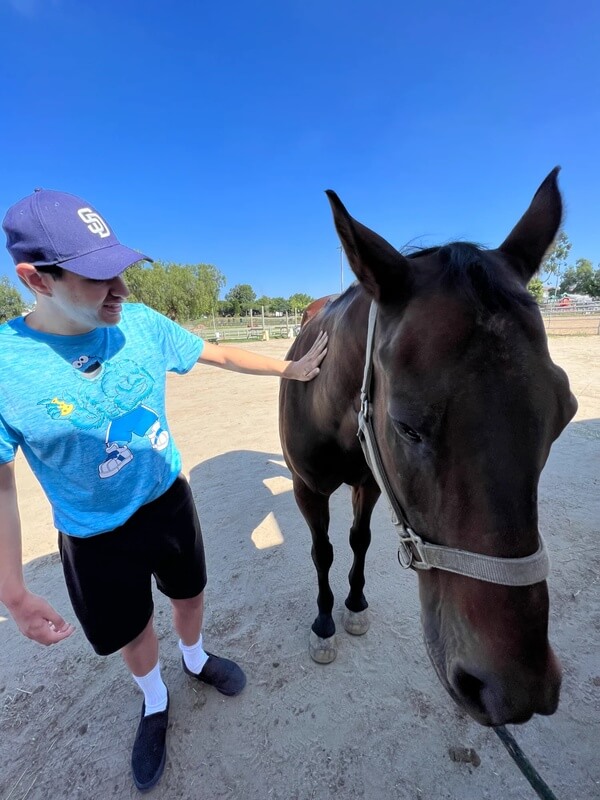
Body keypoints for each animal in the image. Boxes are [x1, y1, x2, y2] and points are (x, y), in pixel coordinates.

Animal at [279, 169, 578, 727]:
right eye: (407, 427)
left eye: (565, 413)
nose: (515, 690)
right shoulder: (308, 489)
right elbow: (322, 550)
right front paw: (324, 623)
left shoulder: (372, 482)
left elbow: (358, 541)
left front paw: (355, 605)